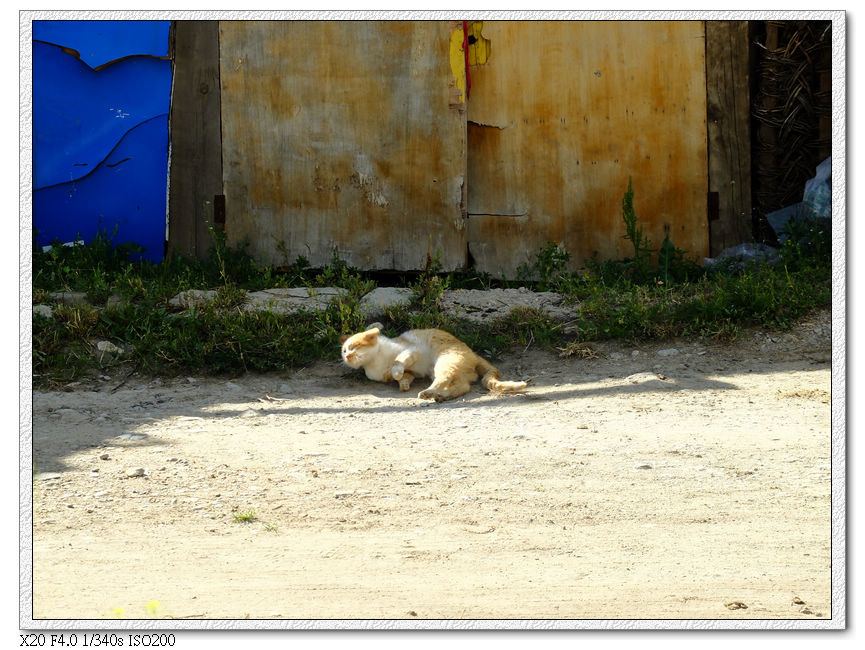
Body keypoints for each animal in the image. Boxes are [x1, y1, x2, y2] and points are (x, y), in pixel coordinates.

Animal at [340, 322, 528, 400]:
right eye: (344, 351)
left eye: (354, 346)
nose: (347, 356)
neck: (375, 362)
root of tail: (474, 354)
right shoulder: (409, 372)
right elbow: (403, 377)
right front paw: (403, 384)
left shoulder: (412, 350)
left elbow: (398, 361)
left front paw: (397, 372)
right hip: (450, 372)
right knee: (462, 387)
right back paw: (440, 396)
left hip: (445, 362)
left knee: (444, 379)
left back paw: (429, 392)